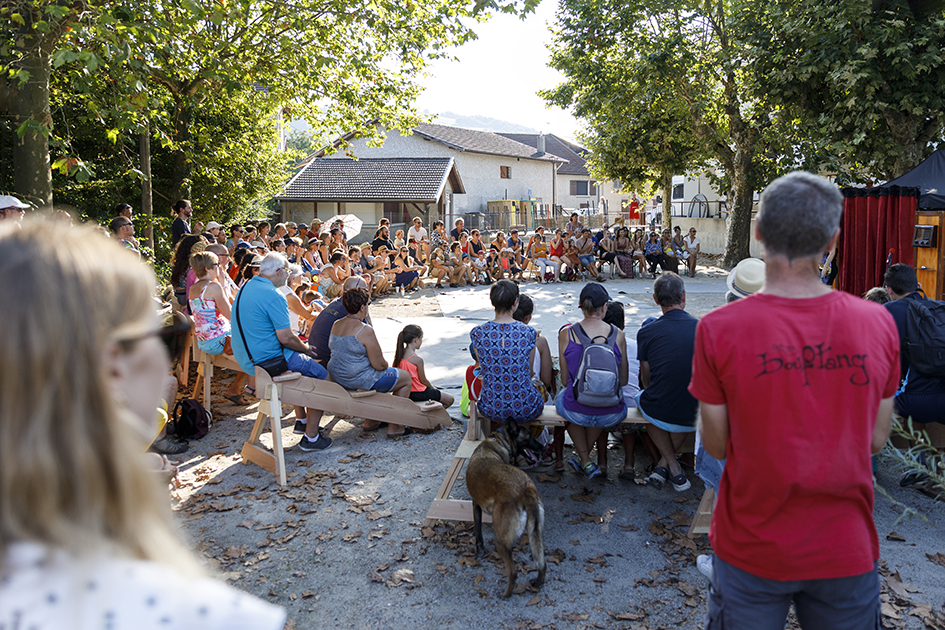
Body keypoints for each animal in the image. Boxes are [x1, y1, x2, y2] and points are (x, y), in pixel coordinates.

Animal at [464, 420, 544, 596]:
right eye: (529, 437)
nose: (543, 447)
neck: (498, 440)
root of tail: (525, 489)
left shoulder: (475, 505)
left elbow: (478, 531)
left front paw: (479, 550)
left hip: (500, 538)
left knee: (513, 572)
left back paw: (505, 594)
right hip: (536, 532)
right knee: (542, 564)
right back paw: (537, 583)